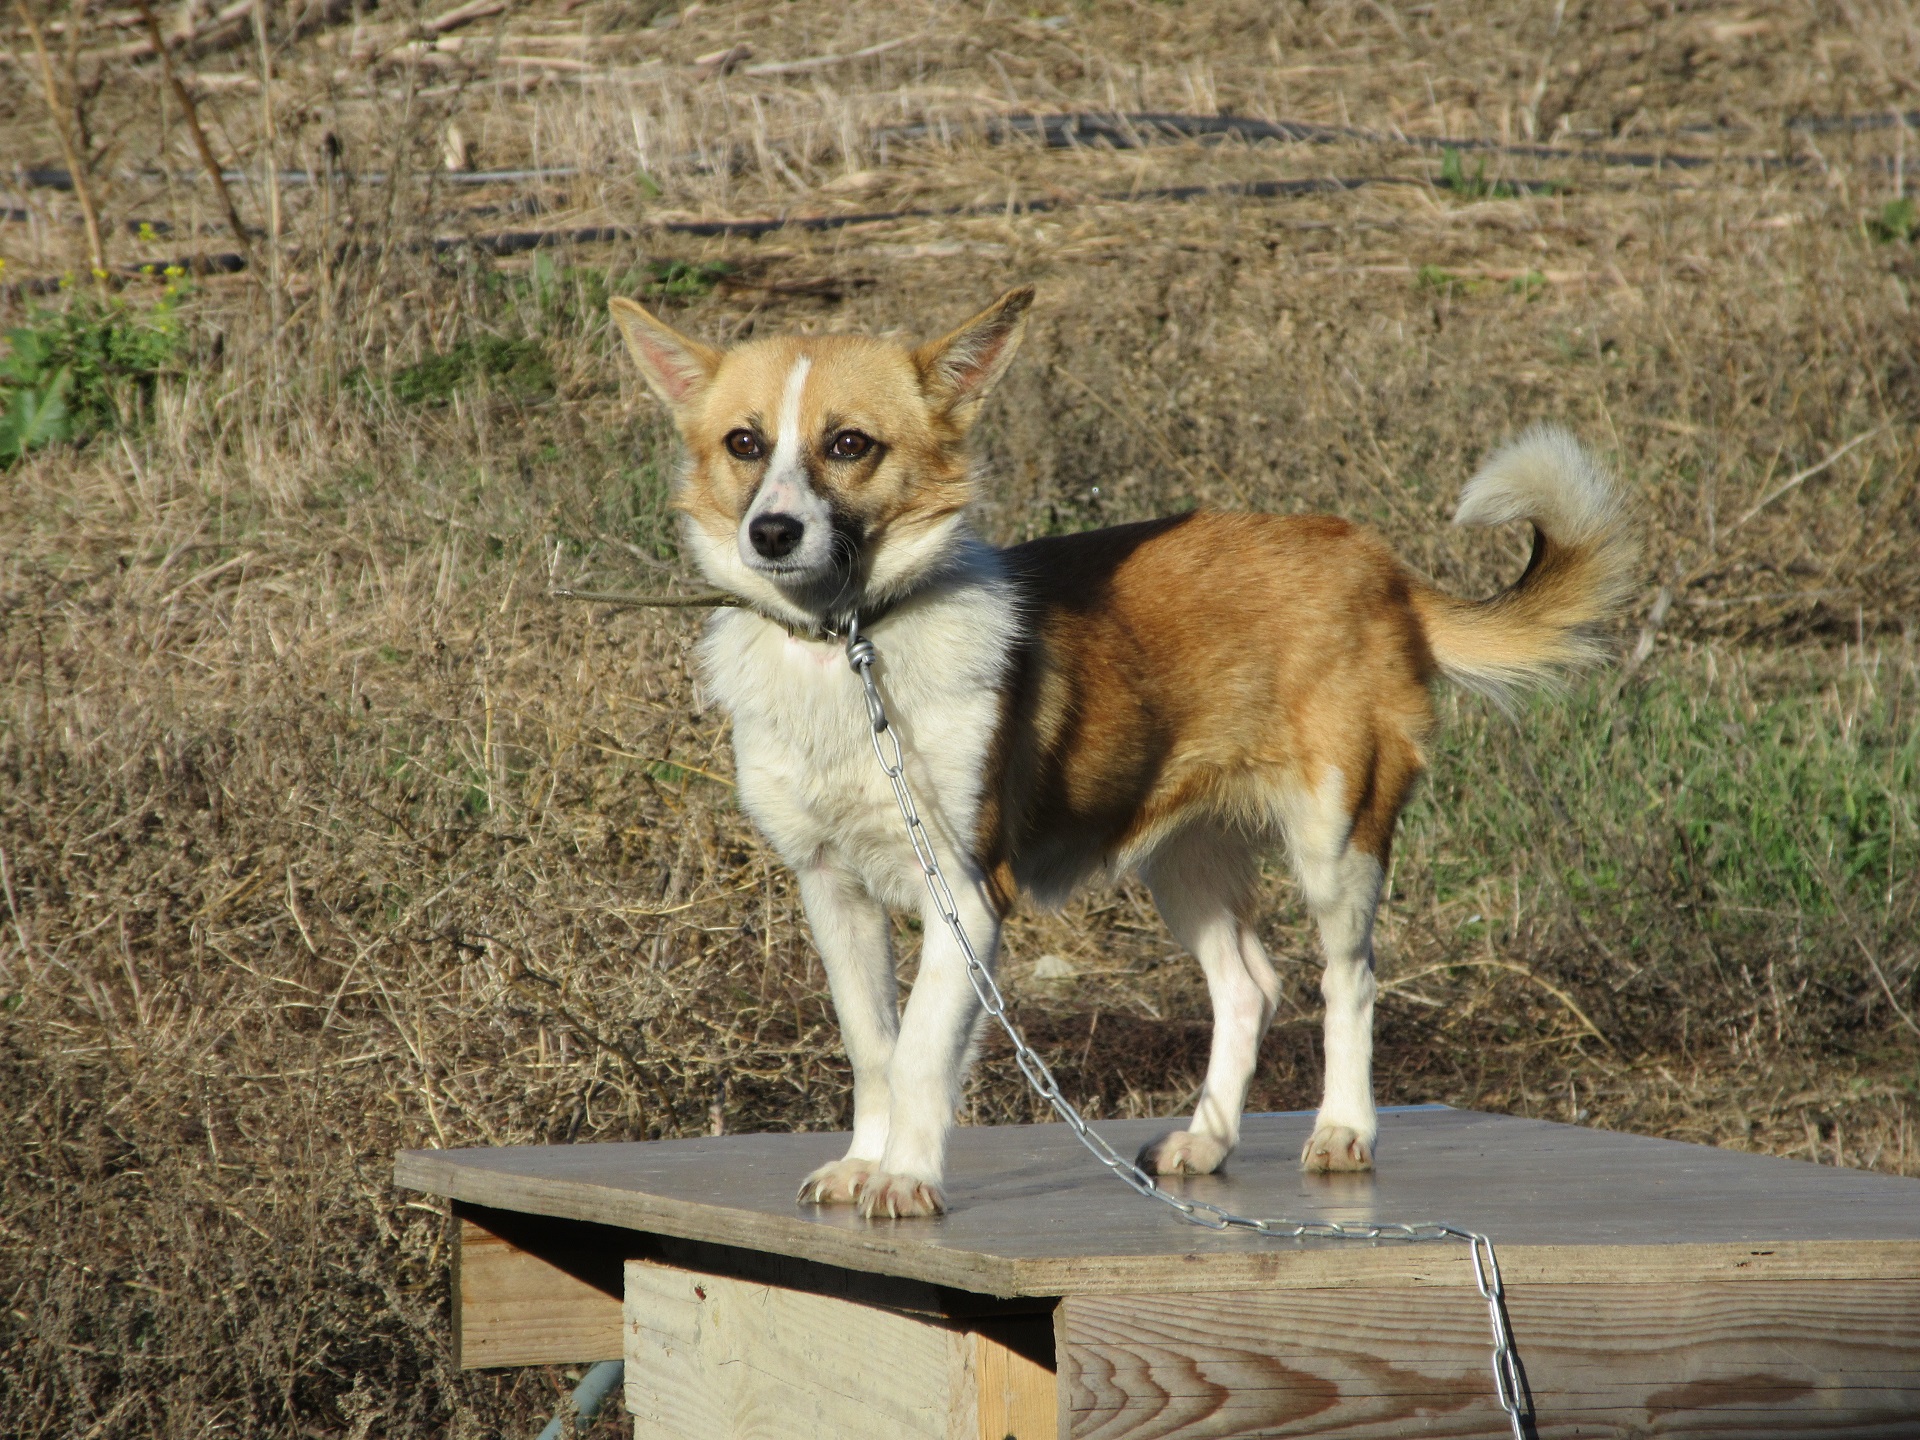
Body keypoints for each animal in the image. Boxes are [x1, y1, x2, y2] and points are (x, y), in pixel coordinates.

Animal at [610, 284, 1635, 1221]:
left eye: (850, 444)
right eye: (745, 445)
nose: (772, 532)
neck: (850, 643)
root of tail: (1375, 560)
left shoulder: (966, 896)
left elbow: (921, 1051)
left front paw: (906, 1177)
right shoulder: (832, 889)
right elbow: (874, 1046)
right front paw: (868, 1162)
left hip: (1337, 842)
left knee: (1349, 980)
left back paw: (1344, 1128)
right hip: (1183, 860)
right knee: (1250, 987)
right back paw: (1207, 1140)